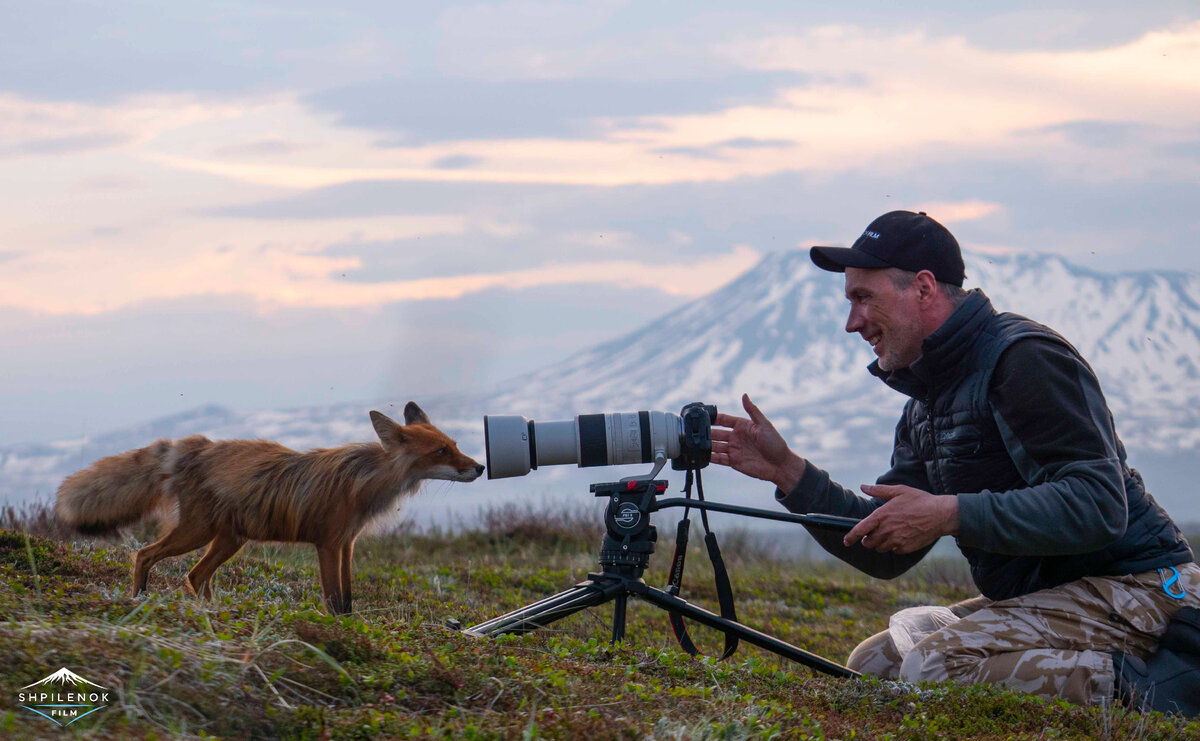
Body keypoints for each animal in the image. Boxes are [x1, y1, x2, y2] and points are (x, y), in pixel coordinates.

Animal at [51, 400, 482, 613]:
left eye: (455, 443)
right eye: (441, 451)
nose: (479, 467)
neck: (364, 482)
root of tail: (197, 446)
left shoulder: (347, 544)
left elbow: (348, 599)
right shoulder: (328, 544)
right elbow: (333, 600)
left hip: (228, 541)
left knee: (195, 576)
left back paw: (213, 612)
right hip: (197, 533)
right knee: (144, 554)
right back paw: (138, 598)